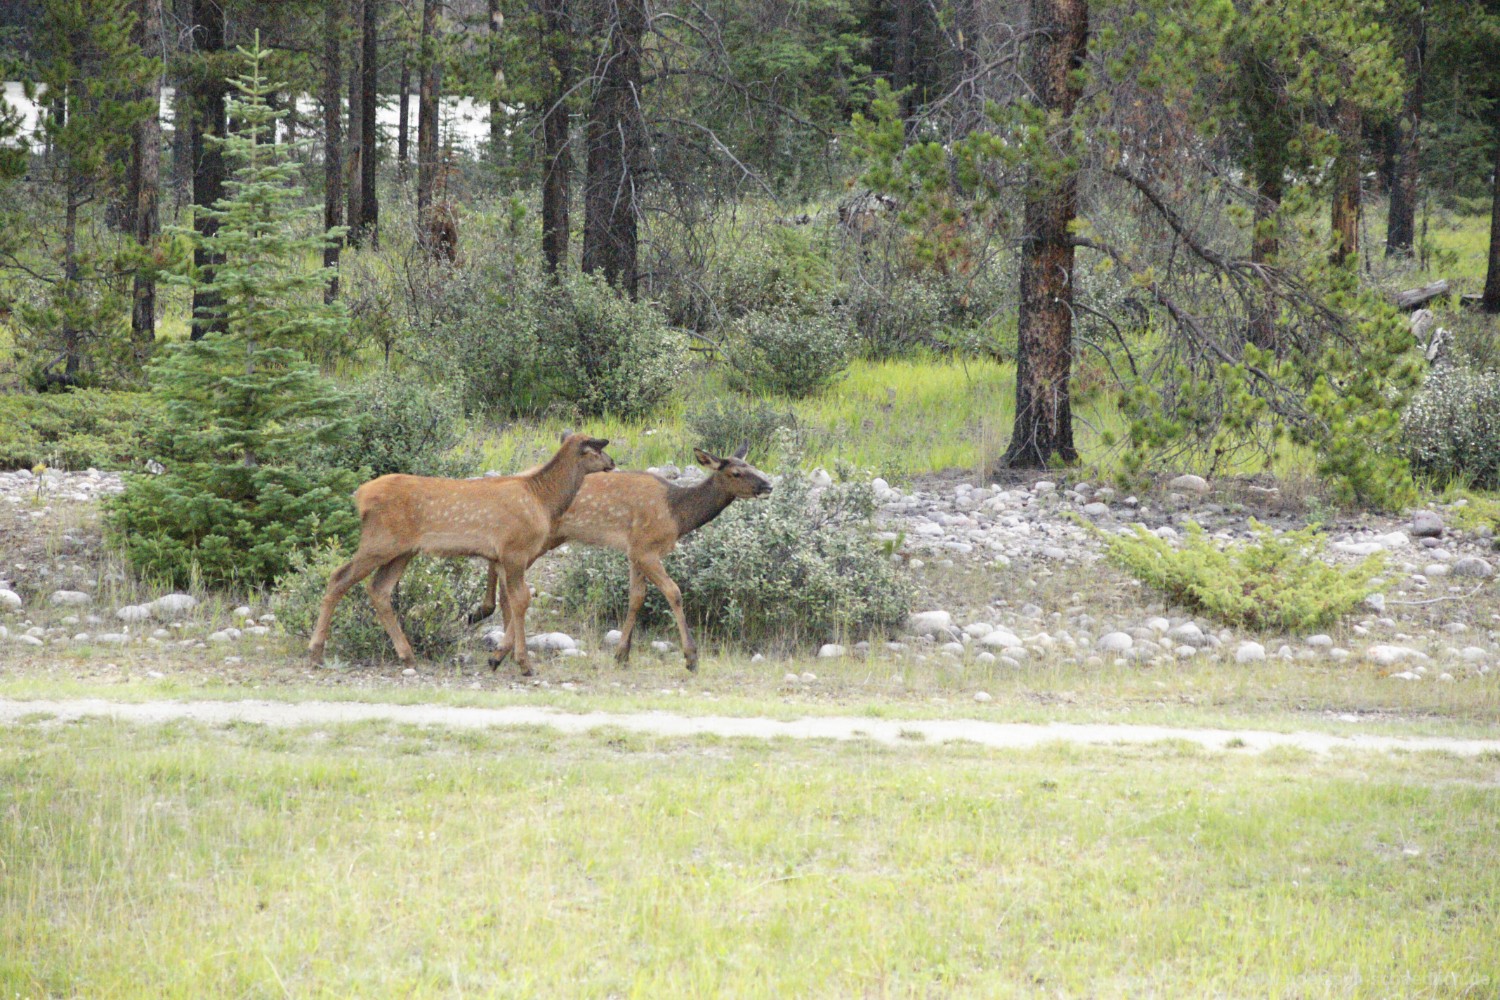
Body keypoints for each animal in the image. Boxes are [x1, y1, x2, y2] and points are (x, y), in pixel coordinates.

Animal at [307, 432, 614, 674]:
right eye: (598, 448)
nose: (612, 463)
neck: (543, 501)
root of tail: (359, 496)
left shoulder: (500, 557)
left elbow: (507, 601)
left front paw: (498, 656)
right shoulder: (515, 550)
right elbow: (521, 600)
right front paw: (523, 663)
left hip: (402, 551)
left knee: (378, 589)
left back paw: (407, 655)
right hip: (379, 543)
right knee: (339, 578)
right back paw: (316, 652)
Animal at [470, 442, 773, 672]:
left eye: (753, 465)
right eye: (736, 472)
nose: (768, 485)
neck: (677, 514)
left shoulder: (635, 551)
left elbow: (637, 597)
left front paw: (622, 653)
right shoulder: (645, 548)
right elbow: (674, 592)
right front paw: (691, 657)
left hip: (548, 538)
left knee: (501, 573)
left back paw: (493, 630)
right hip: (541, 536)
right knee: (505, 576)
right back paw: (494, 638)